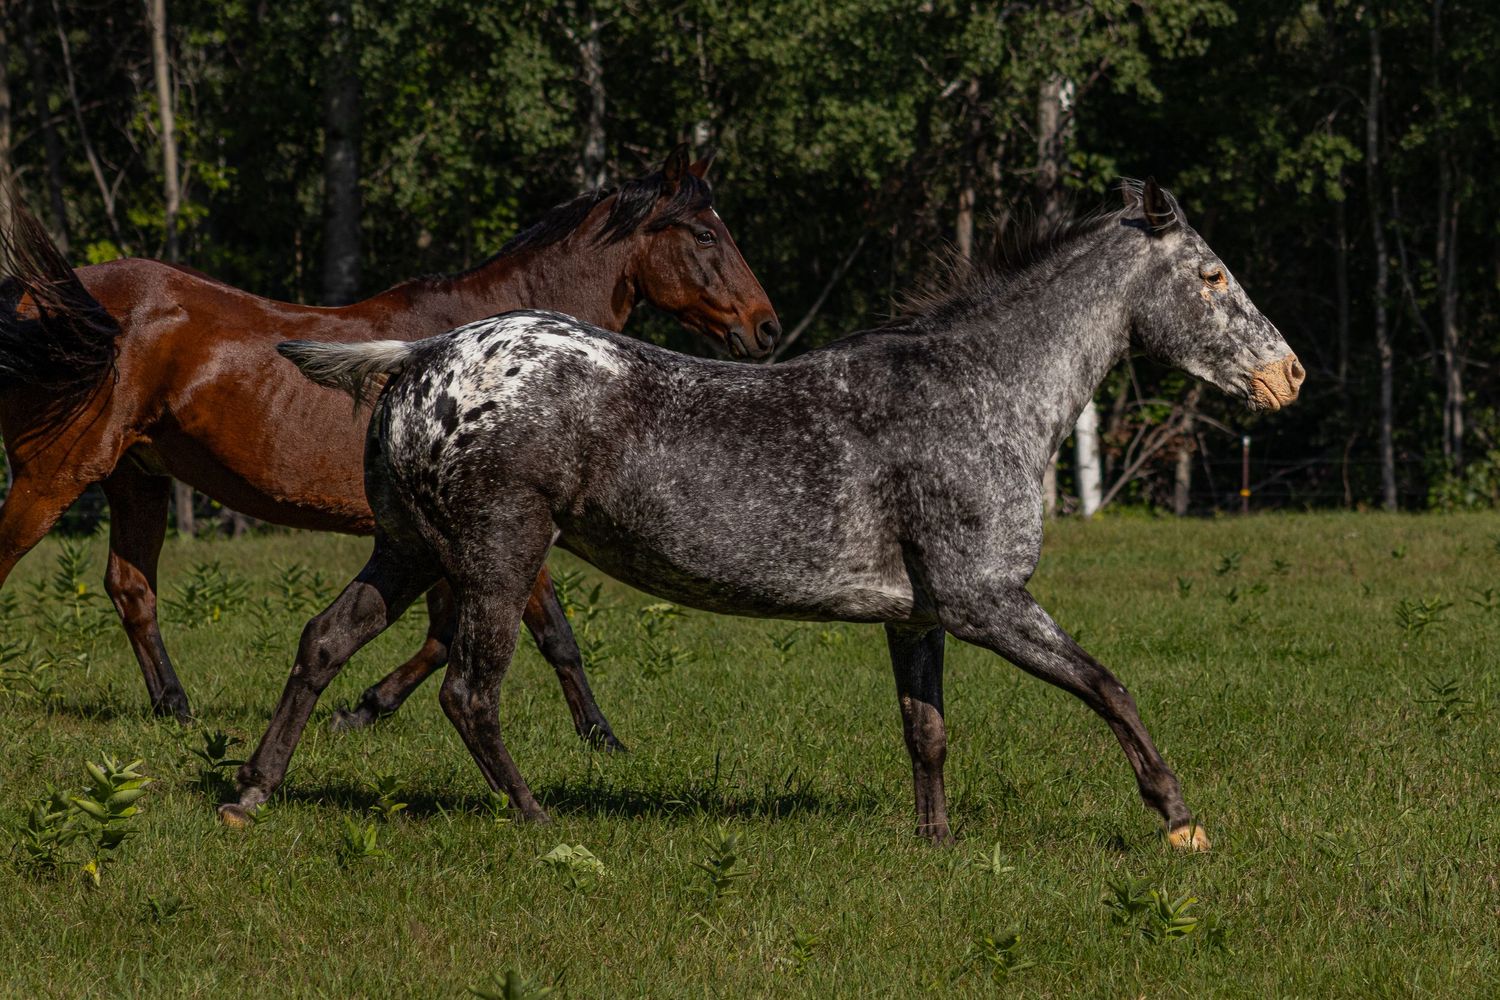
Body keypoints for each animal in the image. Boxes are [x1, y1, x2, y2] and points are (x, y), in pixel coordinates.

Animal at [0, 146, 779, 744]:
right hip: (55, 472)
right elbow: (550, 634)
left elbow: (442, 635)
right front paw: (602, 737)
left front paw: (362, 709)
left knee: (132, 589)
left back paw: (176, 708)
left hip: (137, 475)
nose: (766, 328)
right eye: (704, 236)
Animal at [227, 179, 1303, 848]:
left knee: (324, 642)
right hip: (497, 557)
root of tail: (420, 358)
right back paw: (537, 820)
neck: (982, 391)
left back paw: (250, 794)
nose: (1287, 374)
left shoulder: (917, 614)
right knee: (468, 692)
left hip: (408, 550)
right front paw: (1179, 817)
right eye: (1213, 275)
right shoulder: (986, 601)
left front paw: (937, 842)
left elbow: (927, 731)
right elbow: (1108, 685)